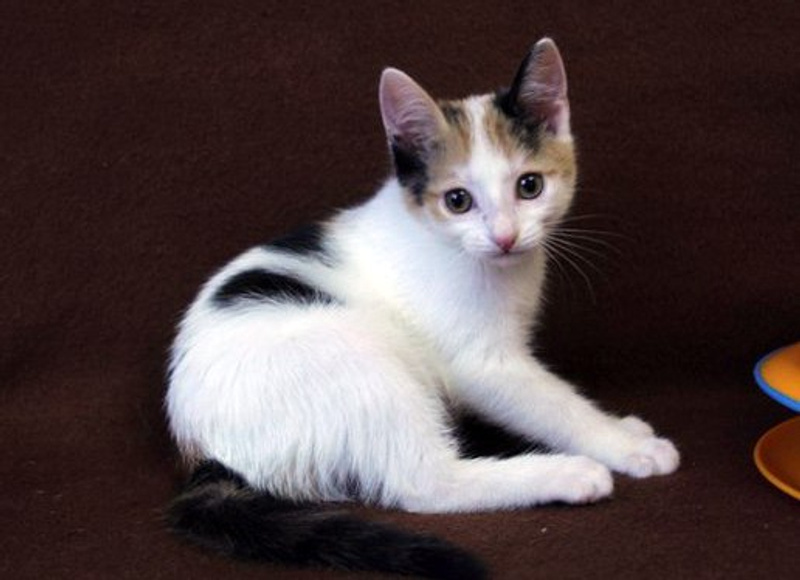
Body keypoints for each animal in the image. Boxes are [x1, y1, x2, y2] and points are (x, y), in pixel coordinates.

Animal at [165, 38, 679, 579]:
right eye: (458, 201)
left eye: (530, 186)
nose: (505, 236)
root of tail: (202, 448)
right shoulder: (484, 366)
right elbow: (555, 404)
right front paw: (625, 445)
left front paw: (623, 429)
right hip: (359, 360)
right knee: (424, 484)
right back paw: (566, 475)